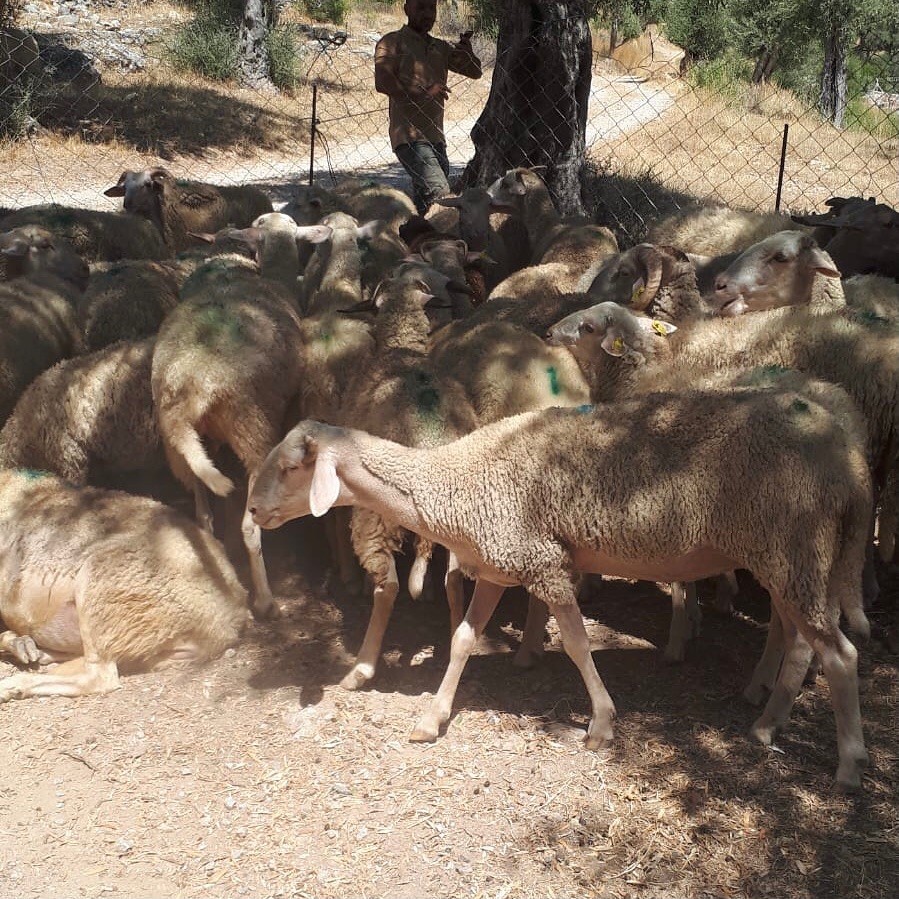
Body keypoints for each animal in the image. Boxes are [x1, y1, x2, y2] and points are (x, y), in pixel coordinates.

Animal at [250, 394, 876, 788]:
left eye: (291, 466)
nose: (252, 511)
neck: (454, 482)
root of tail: (847, 454)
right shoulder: (497, 564)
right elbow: (460, 640)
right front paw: (432, 718)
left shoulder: (543, 561)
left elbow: (575, 642)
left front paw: (601, 723)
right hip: (787, 555)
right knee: (796, 639)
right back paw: (766, 719)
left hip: (795, 549)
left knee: (839, 653)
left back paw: (847, 763)